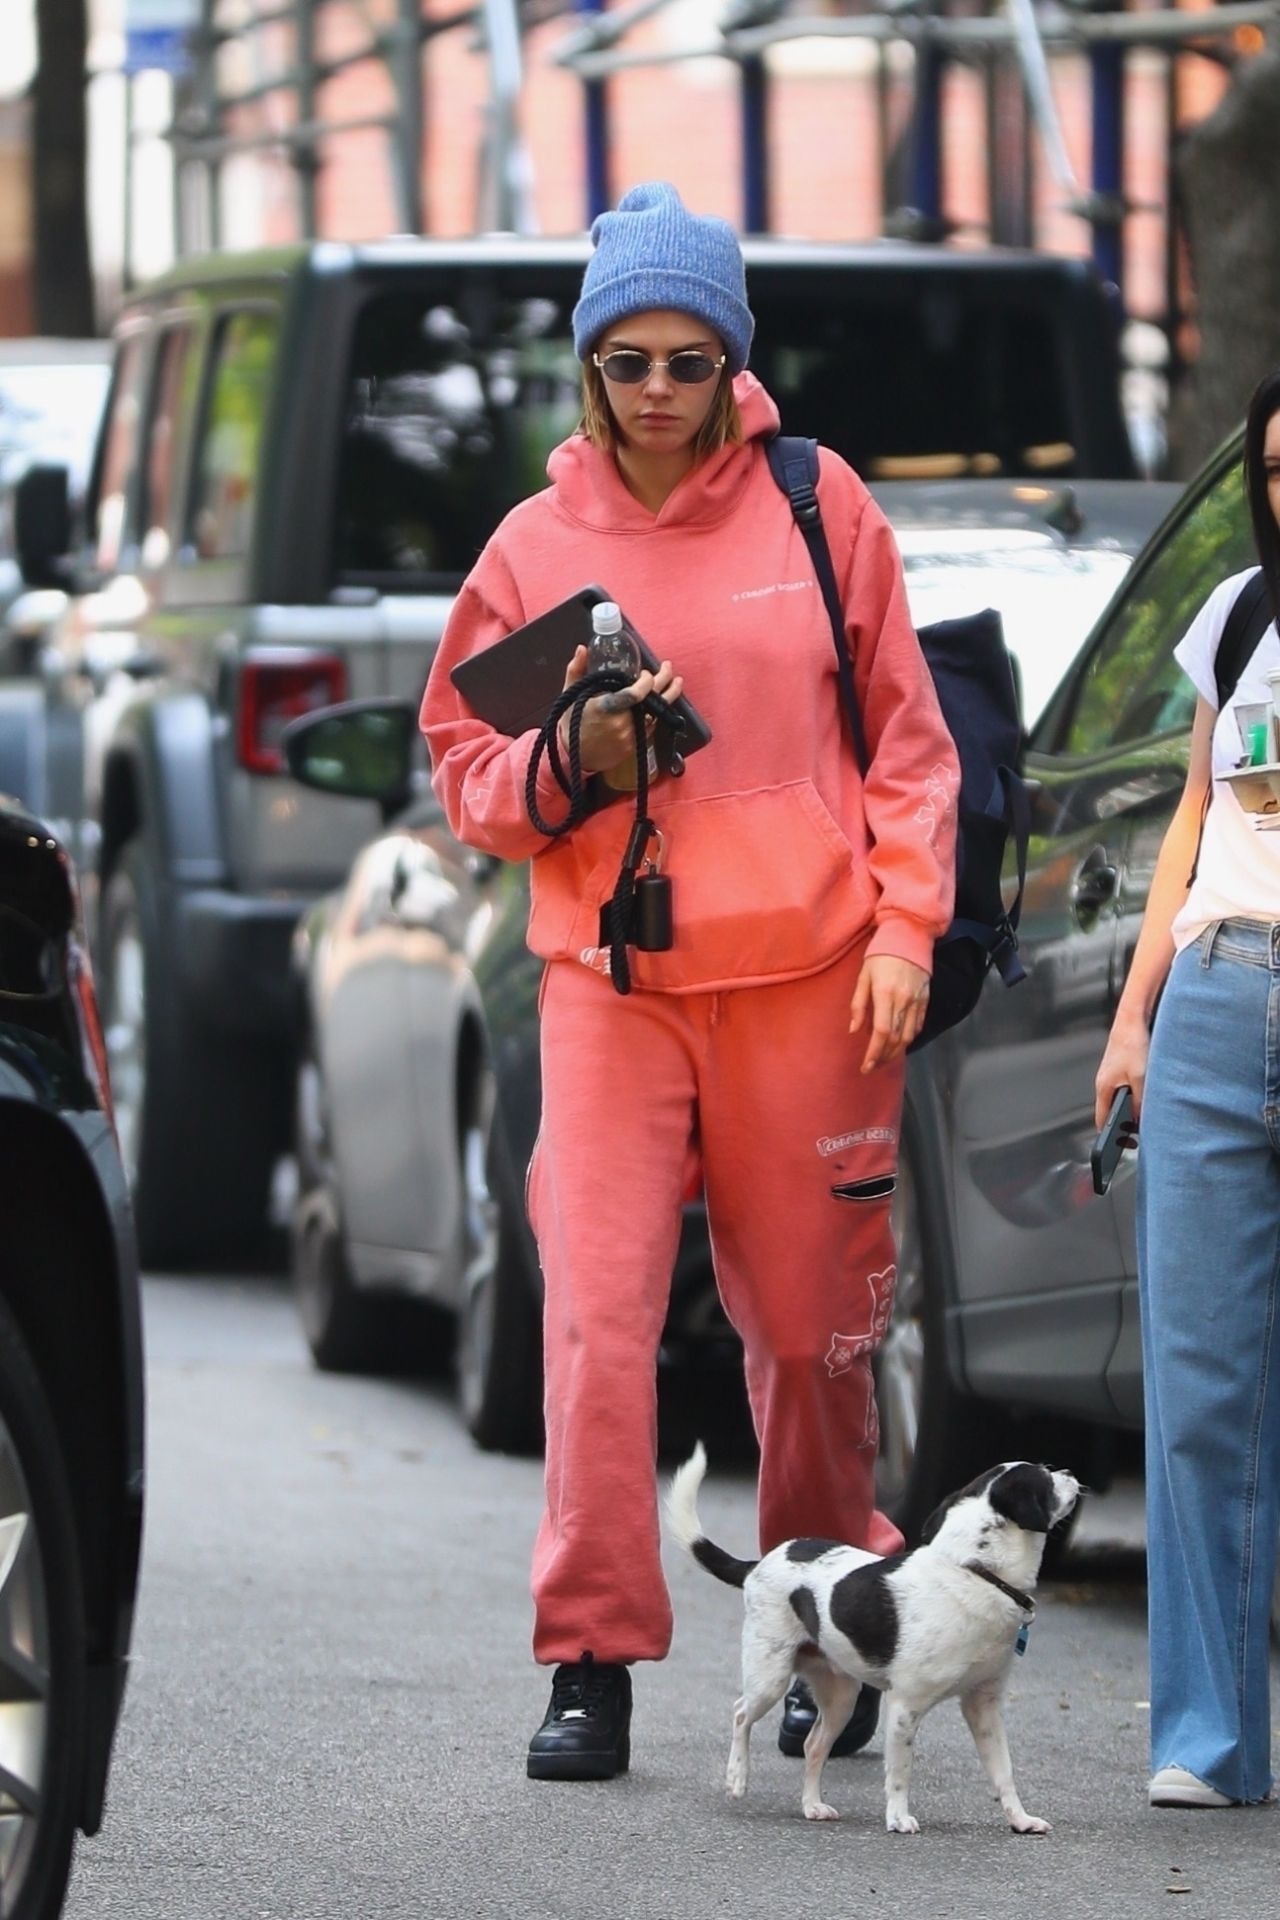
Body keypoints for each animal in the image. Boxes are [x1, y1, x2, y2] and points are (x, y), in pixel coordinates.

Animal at [671, 1443, 1082, 1835]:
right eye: (1046, 1476)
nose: (1070, 1471)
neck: (976, 1572)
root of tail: (758, 1564)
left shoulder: (984, 1707)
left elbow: (1003, 1772)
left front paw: (1020, 1819)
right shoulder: (905, 1707)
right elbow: (899, 1773)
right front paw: (898, 1818)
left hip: (841, 1697)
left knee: (813, 1745)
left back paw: (812, 1806)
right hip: (769, 1677)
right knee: (741, 1713)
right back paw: (737, 1777)